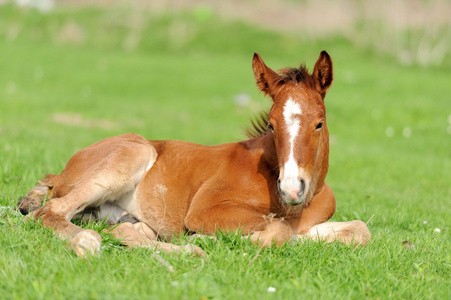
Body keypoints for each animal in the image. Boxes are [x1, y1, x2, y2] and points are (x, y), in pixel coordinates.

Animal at [17, 50, 370, 256]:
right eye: (271, 124)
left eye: (319, 123)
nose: (292, 188)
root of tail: (63, 170)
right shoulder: (205, 211)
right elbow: (279, 230)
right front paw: (208, 239)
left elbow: (360, 231)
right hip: (134, 153)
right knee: (50, 211)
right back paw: (86, 241)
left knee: (122, 228)